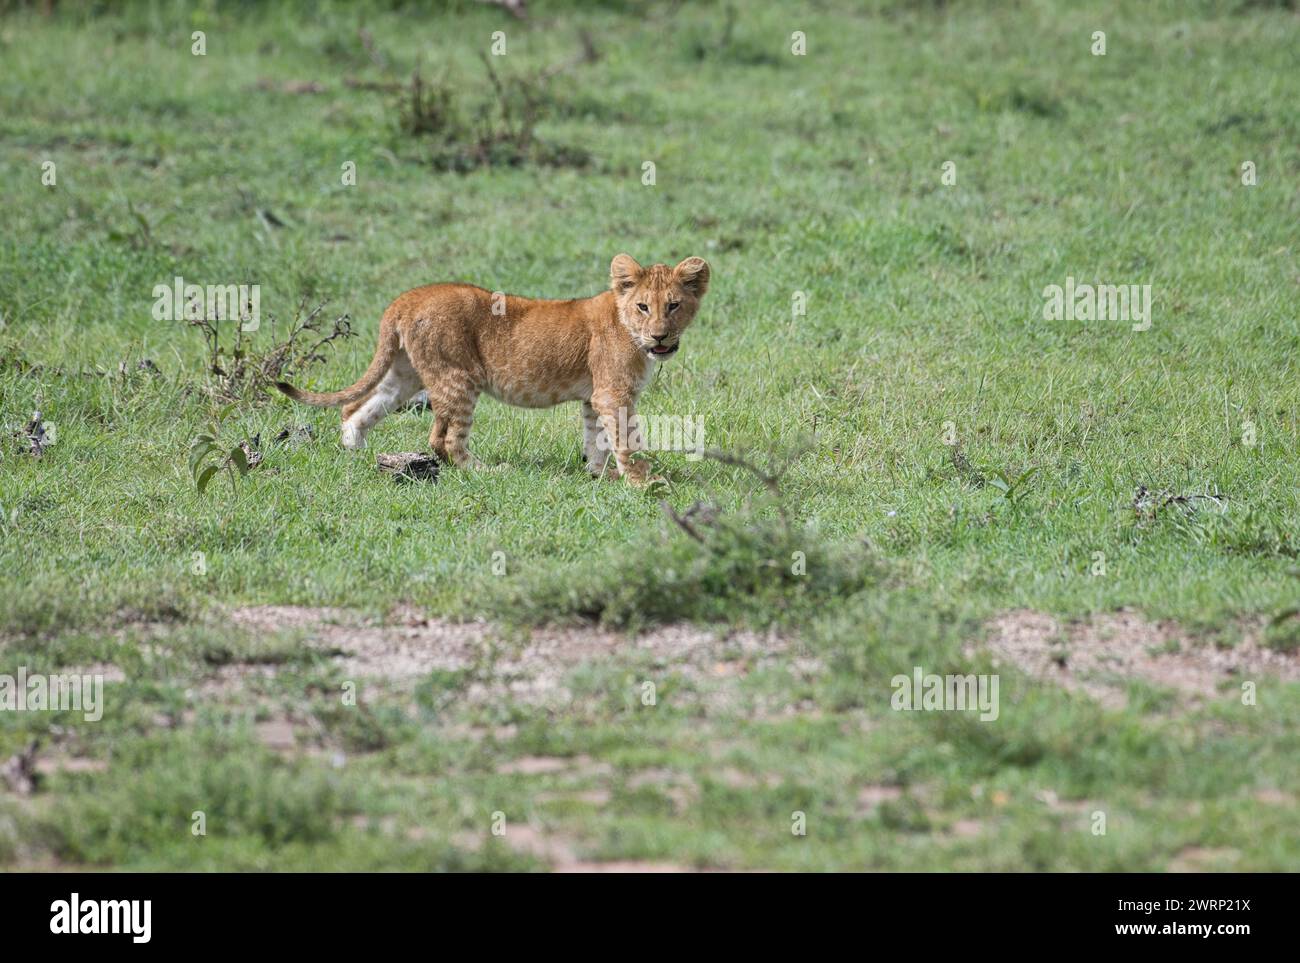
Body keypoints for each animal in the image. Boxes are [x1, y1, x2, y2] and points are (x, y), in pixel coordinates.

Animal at [276, 254, 711, 484]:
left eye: (674, 305)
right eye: (644, 307)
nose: (660, 336)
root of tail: (406, 298)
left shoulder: (594, 397)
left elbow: (597, 440)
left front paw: (599, 475)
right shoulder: (613, 393)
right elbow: (627, 440)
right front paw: (645, 482)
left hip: (406, 373)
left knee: (357, 409)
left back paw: (356, 454)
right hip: (458, 378)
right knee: (444, 439)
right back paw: (488, 471)